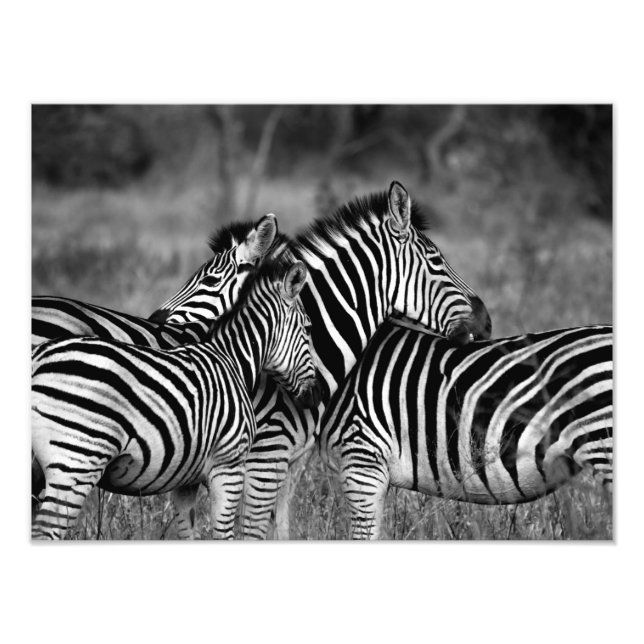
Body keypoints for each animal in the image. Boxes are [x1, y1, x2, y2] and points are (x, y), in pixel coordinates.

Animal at [31, 257, 319, 540]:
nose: (316, 396)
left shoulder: (186, 479)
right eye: (307, 328)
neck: (231, 359)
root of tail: (38, 358)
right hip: (77, 462)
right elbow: (224, 534)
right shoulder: (229, 464)